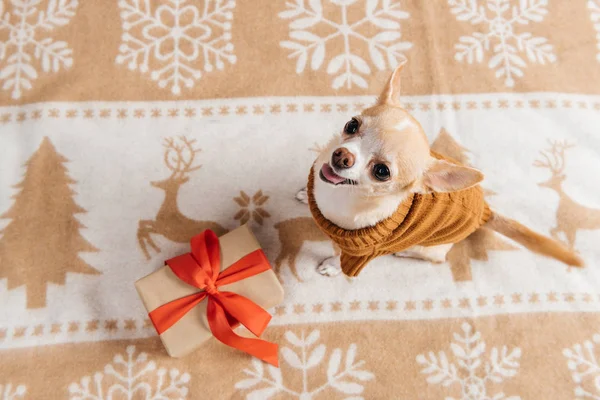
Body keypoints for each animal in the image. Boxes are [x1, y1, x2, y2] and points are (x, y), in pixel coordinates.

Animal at [298, 63, 584, 278]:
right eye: (352, 125)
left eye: (381, 171)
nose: (341, 156)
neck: (344, 196)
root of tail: (485, 212)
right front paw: (303, 193)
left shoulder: (358, 253)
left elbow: (338, 257)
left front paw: (332, 267)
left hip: (430, 248)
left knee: (436, 258)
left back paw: (405, 251)